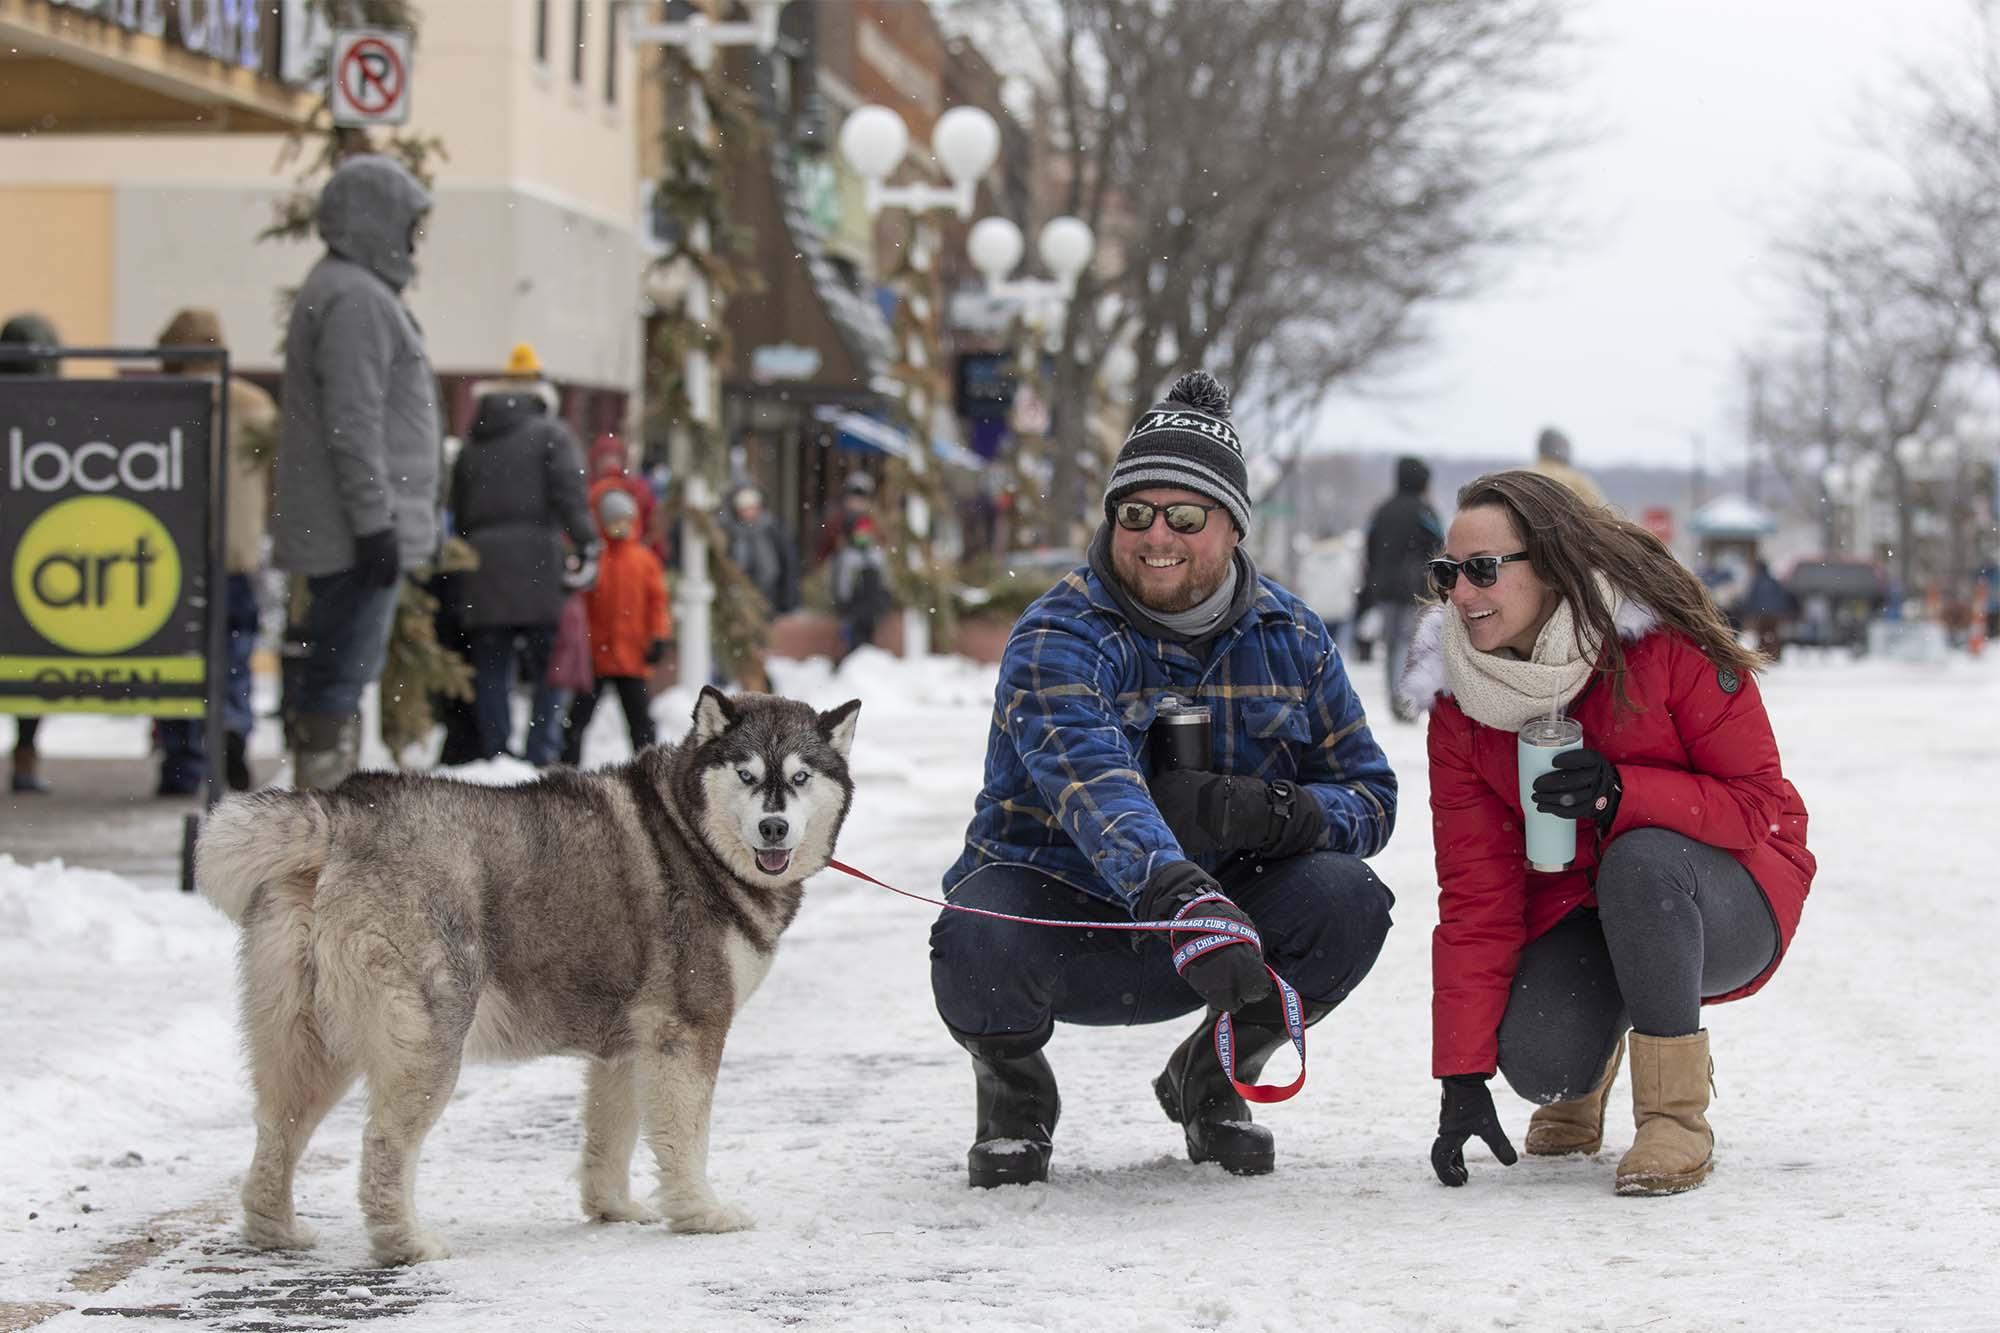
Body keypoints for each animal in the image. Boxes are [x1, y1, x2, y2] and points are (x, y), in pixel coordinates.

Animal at [195, 688, 860, 1264]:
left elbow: (611, 1135)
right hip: (430, 1036)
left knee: (276, 1130)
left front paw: (613, 1208)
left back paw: (274, 1230)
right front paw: (701, 1214)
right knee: (384, 1145)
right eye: (746, 775)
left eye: (800, 777)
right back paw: (406, 1244)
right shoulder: (688, 1030)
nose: (773, 827)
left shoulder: (630, 1045)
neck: (693, 835)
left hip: (307, 1039)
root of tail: (340, 811)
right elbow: (685, 1137)